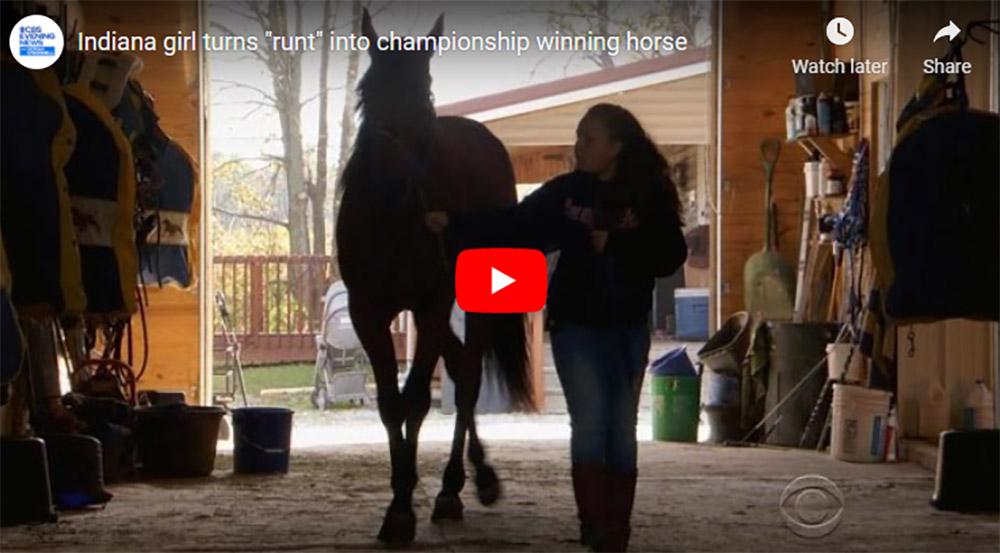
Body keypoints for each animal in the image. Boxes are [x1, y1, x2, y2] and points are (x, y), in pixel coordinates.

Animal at [336, 8, 536, 544]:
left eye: (423, 91)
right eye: (367, 89)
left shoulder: (426, 306)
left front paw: (405, 506)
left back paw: (454, 488)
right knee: (461, 362)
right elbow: (390, 403)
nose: (389, 178)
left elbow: (416, 402)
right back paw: (473, 476)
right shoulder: (368, 311)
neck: (393, 217)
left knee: (467, 383)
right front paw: (397, 502)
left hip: (469, 303)